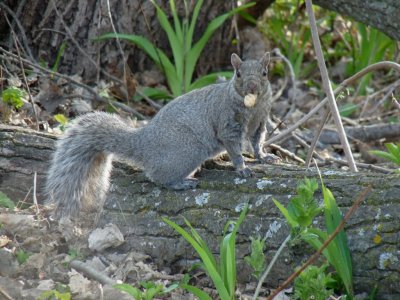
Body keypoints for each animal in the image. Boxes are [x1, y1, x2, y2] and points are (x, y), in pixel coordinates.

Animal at [44, 52, 276, 218]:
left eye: (265, 73)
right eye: (238, 74)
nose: (252, 86)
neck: (253, 107)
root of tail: (144, 143)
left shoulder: (260, 122)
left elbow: (257, 141)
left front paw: (264, 157)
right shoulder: (228, 124)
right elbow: (234, 149)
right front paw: (242, 168)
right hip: (187, 151)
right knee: (157, 177)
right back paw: (181, 183)